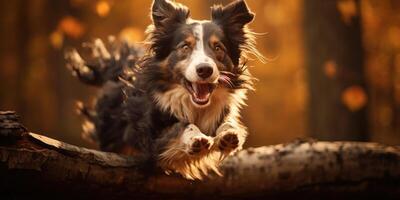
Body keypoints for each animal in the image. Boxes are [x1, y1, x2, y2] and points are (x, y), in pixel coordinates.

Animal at [65, 0, 262, 180]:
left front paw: (229, 134)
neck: (194, 106)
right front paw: (196, 138)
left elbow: (227, 124)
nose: (205, 70)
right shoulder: (150, 139)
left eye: (218, 47)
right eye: (185, 47)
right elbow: (181, 126)